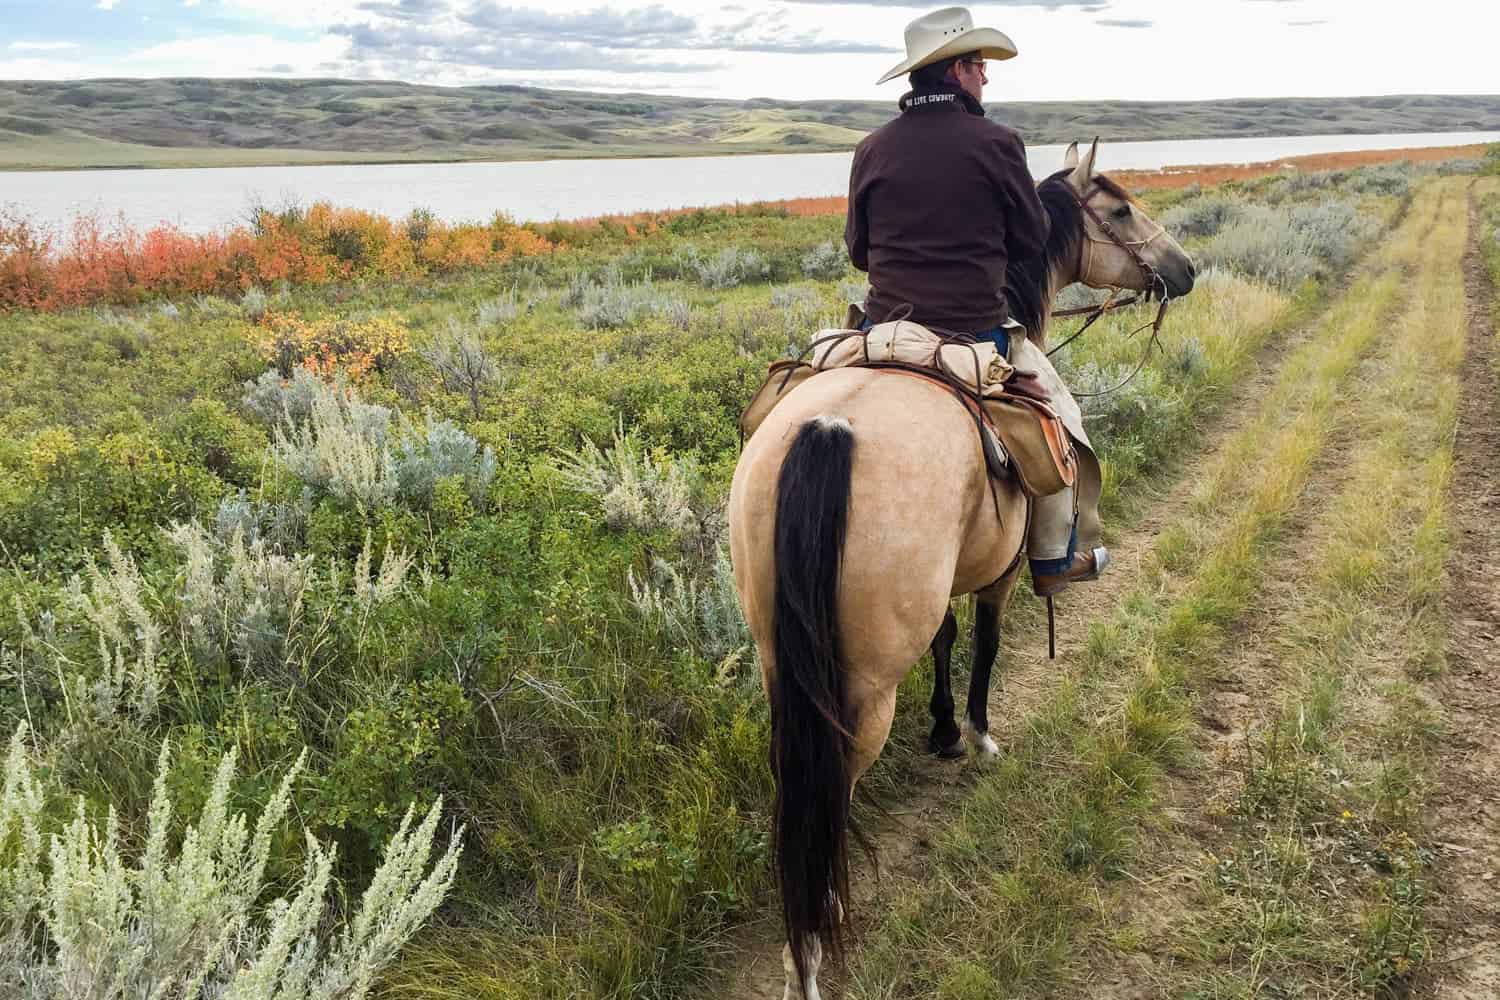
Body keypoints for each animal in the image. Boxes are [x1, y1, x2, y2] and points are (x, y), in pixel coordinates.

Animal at [726, 142, 1194, 1000]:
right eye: (1118, 208)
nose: (1183, 269)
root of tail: (827, 426)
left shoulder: (938, 587)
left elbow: (944, 639)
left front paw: (942, 730)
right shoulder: (1001, 573)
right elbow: (985, 644)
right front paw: (976, 735)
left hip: (782, 659)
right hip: (863, 685)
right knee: (832, 789)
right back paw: (817, 945)